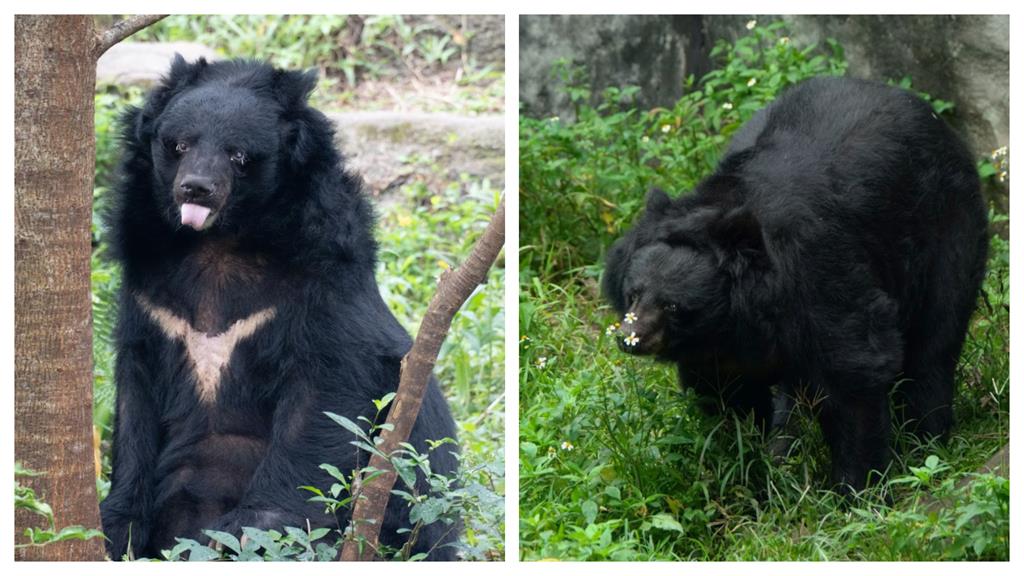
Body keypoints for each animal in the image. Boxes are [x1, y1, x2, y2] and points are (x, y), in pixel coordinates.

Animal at [99, 57, 460, 557]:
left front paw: (247, 531)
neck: (218, 242)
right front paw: (117, 524)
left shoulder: (321, 285)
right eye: (179, 144)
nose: (195, 189)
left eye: (238, 155)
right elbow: (136, 403)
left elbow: (324, 398)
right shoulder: (150, 298)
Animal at [602, 75, 987, 487]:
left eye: (672, 306)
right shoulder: (718, 352)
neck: (733, 319)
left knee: (933, 343)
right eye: (633, 295)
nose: (630, 339)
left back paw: (926, 443)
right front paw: (745, 470)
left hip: (947, 232)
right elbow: (728, 401)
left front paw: (856, 487)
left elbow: (853, 369)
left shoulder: (817, 274)